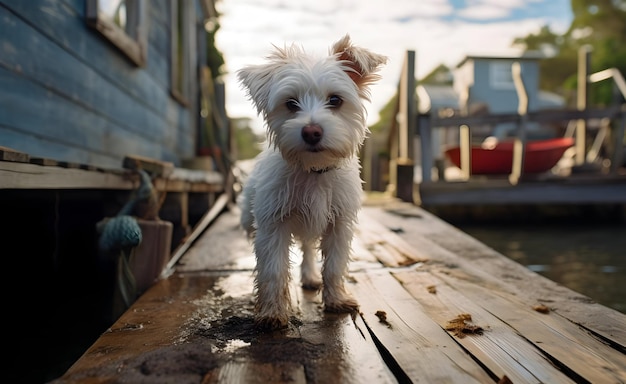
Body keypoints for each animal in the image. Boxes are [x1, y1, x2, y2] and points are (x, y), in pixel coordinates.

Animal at [238, 36, 386, 328]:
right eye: (291, 104)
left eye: (335, 100)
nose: (311, 131)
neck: (313, 171)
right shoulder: (273, 224)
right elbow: (273, 270)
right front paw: (272, 312)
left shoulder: (339, 223)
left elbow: (334, 266)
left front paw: (336, 300)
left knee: (307, 249)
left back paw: (309, 277)